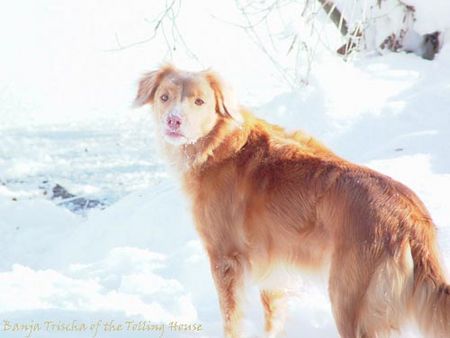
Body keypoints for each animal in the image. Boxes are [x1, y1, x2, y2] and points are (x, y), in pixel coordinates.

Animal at [135, 64, 450, 336]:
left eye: (199, 102)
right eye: (164, 97)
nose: (173, 120)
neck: (219, 144)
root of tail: (410, 217)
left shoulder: (225, 258)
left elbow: (232, 319)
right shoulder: (273, 266)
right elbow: (273, 318)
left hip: (349, 302)